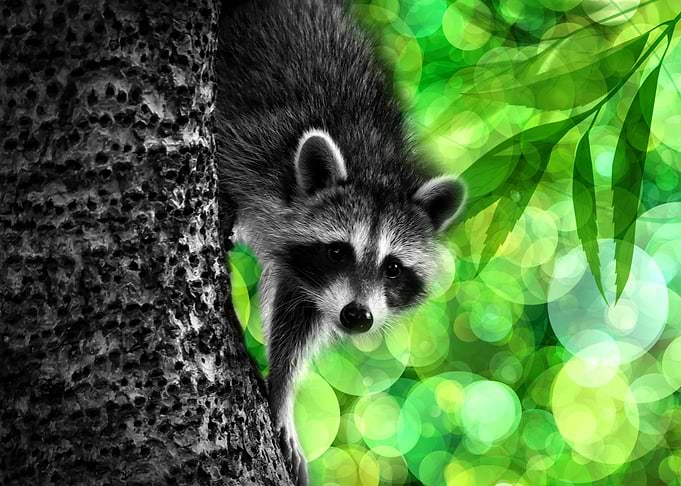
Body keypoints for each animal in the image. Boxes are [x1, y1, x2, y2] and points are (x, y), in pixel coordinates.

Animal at [216, 1, 465, 484]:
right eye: (337, 251)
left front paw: (282, 389)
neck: (371, 164)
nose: (357, 316)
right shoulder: (255, 145)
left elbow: (299, 317)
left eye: (392, 267)